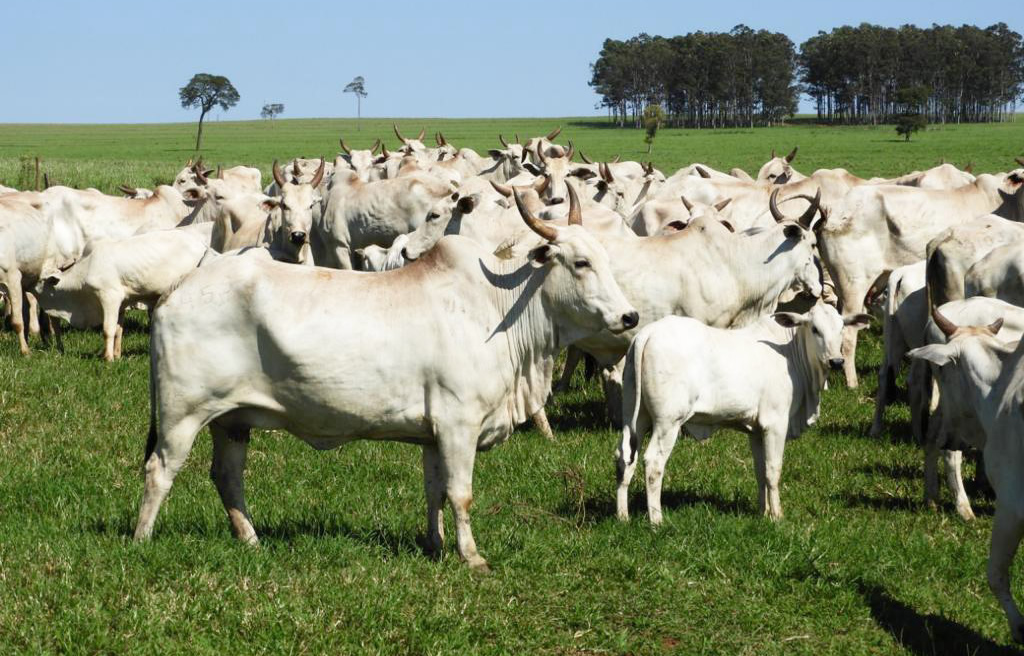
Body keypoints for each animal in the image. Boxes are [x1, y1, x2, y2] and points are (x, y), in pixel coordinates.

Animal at [614, 304, 872, 521]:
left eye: (841, 328)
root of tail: (647, 333)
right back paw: (656, 520)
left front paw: (763, 512)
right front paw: (777, 516)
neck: (791, 353)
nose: (837, 361)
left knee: (624, 457)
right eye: (815, 329)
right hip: (668, 422)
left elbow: (760, 471)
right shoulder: (775, 423)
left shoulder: (756, 430)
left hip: (635, 417)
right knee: (653, 463)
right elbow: (773, 470)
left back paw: (623, 516)